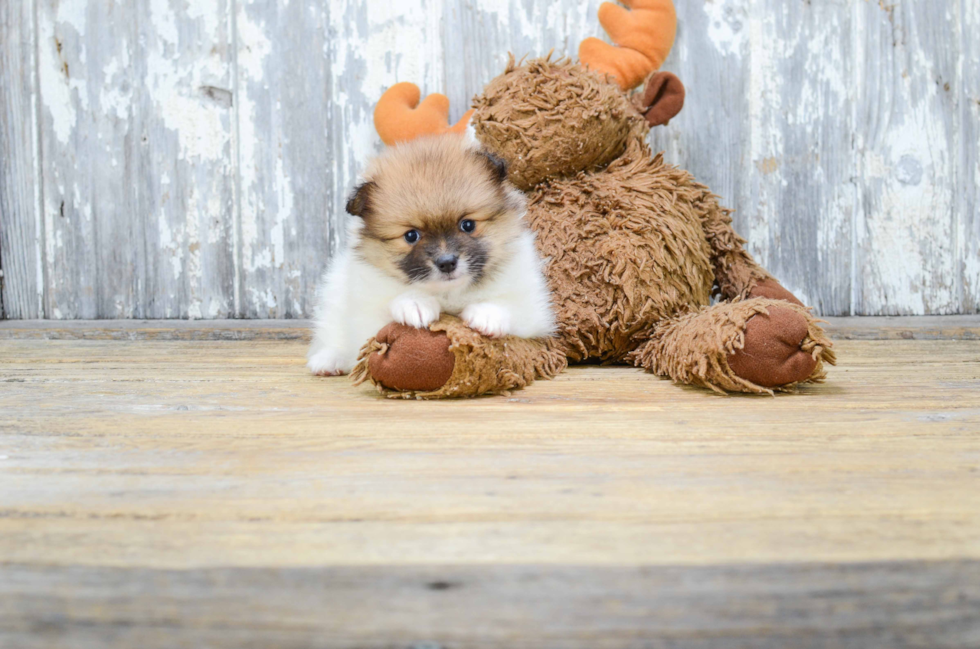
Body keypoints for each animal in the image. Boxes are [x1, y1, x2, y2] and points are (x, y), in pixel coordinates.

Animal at [306, 133, 556, 374]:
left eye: (467, 225)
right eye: (411, 236)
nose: (447, 263)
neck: (449, 294)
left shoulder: (534, 313)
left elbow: (510, 307)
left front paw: (486, 314)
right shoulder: (364, 318)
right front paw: (415, 304)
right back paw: (329, 361)